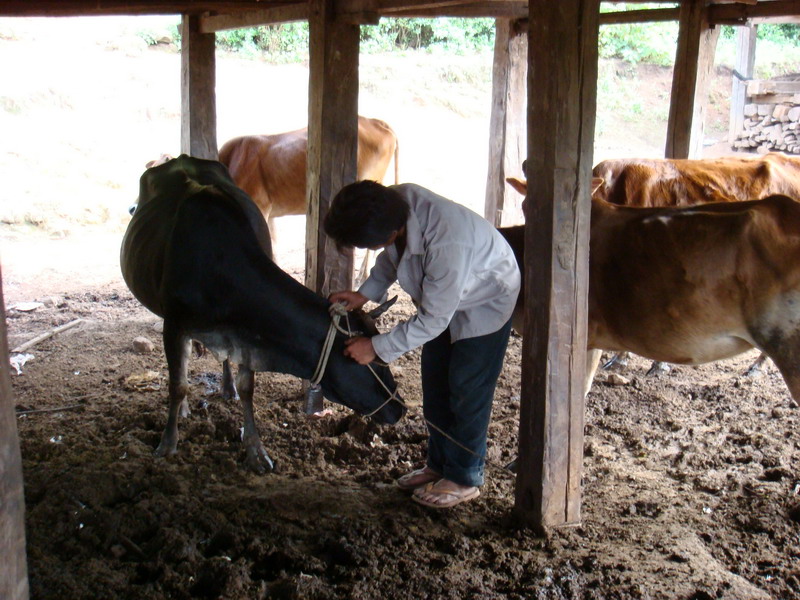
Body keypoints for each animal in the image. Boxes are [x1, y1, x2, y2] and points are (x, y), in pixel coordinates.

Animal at [121, 155, 404, 474]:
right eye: (376, 363)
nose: (400, 408)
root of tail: (182, 158)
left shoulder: (250, 335)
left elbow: (248, 388)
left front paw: (255, 450)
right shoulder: (174, 324)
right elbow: (177, 385)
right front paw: (167, 444)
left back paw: (227, 387)